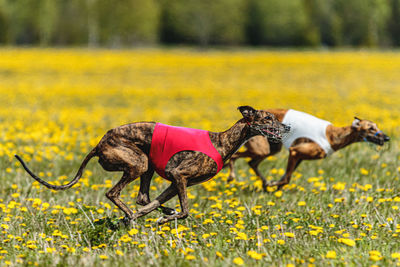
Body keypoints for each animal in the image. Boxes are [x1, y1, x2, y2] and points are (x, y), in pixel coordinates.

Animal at [14, 105, 288, 225]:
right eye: (267, 118)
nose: (286, 127)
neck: (221, 141)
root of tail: (99, 143)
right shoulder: (180, 175)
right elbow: (185, 210)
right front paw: (161, 219)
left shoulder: (175, 182)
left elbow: (154, 203)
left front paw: (162, 215)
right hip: (139, 162)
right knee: (113, 193)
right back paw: (131, 217)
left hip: (147, 167)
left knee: (142, 198)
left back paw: (141, 215)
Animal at [227, 110, 390, 192]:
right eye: (370, 128)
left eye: (376, 126)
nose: (387, 138)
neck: (332, 135)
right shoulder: (295, 151)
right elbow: (286, 179)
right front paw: (273, 185)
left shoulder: (299, 157)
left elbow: (285, 178)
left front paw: (274, 187)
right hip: (262, 148)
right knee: (235, 156)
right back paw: (232, 176)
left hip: (271, 149)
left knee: (252, 163)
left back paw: (264, 183)